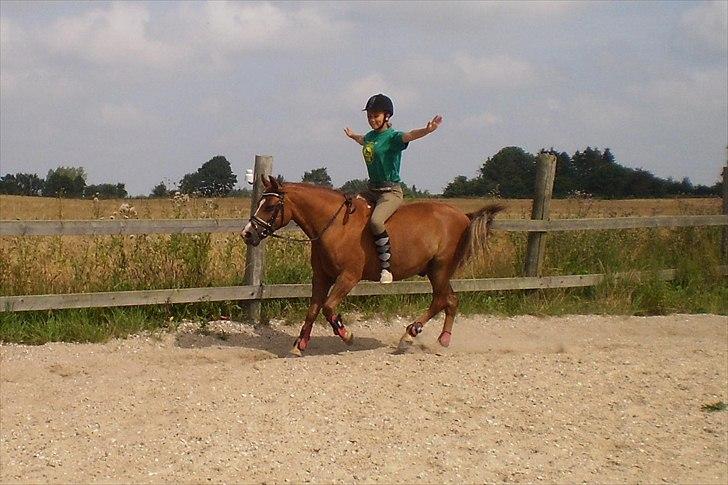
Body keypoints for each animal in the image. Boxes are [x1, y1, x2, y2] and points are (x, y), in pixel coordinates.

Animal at [242, 176, 503, 356]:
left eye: (270, 206)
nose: (247, 234)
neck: (334, 226)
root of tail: (463, 216)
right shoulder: (321, 277)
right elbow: (313, 310)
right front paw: (300, 344)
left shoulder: (349, 277)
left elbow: (327, 307)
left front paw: (345, 333)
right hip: (436, 271)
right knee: (451, 299)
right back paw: (444, 338)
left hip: (440, 268)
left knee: (440, 299)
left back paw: (409, 334)